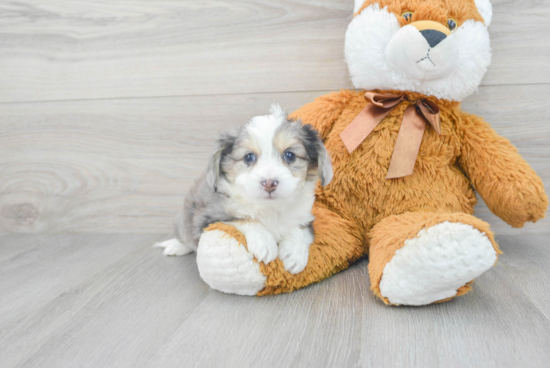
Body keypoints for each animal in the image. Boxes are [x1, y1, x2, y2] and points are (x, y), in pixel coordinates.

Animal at [157, 103, 334, 274]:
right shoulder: (209, 217)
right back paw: (175, 246)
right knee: (183, 237)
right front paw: (264, 242)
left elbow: (300, 229)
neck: (270, 209)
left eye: (290, 155)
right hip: (184, 222)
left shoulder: (304, 216)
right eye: (249, 157)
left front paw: (294, 253)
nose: (269, 183)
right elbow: (244, 218)